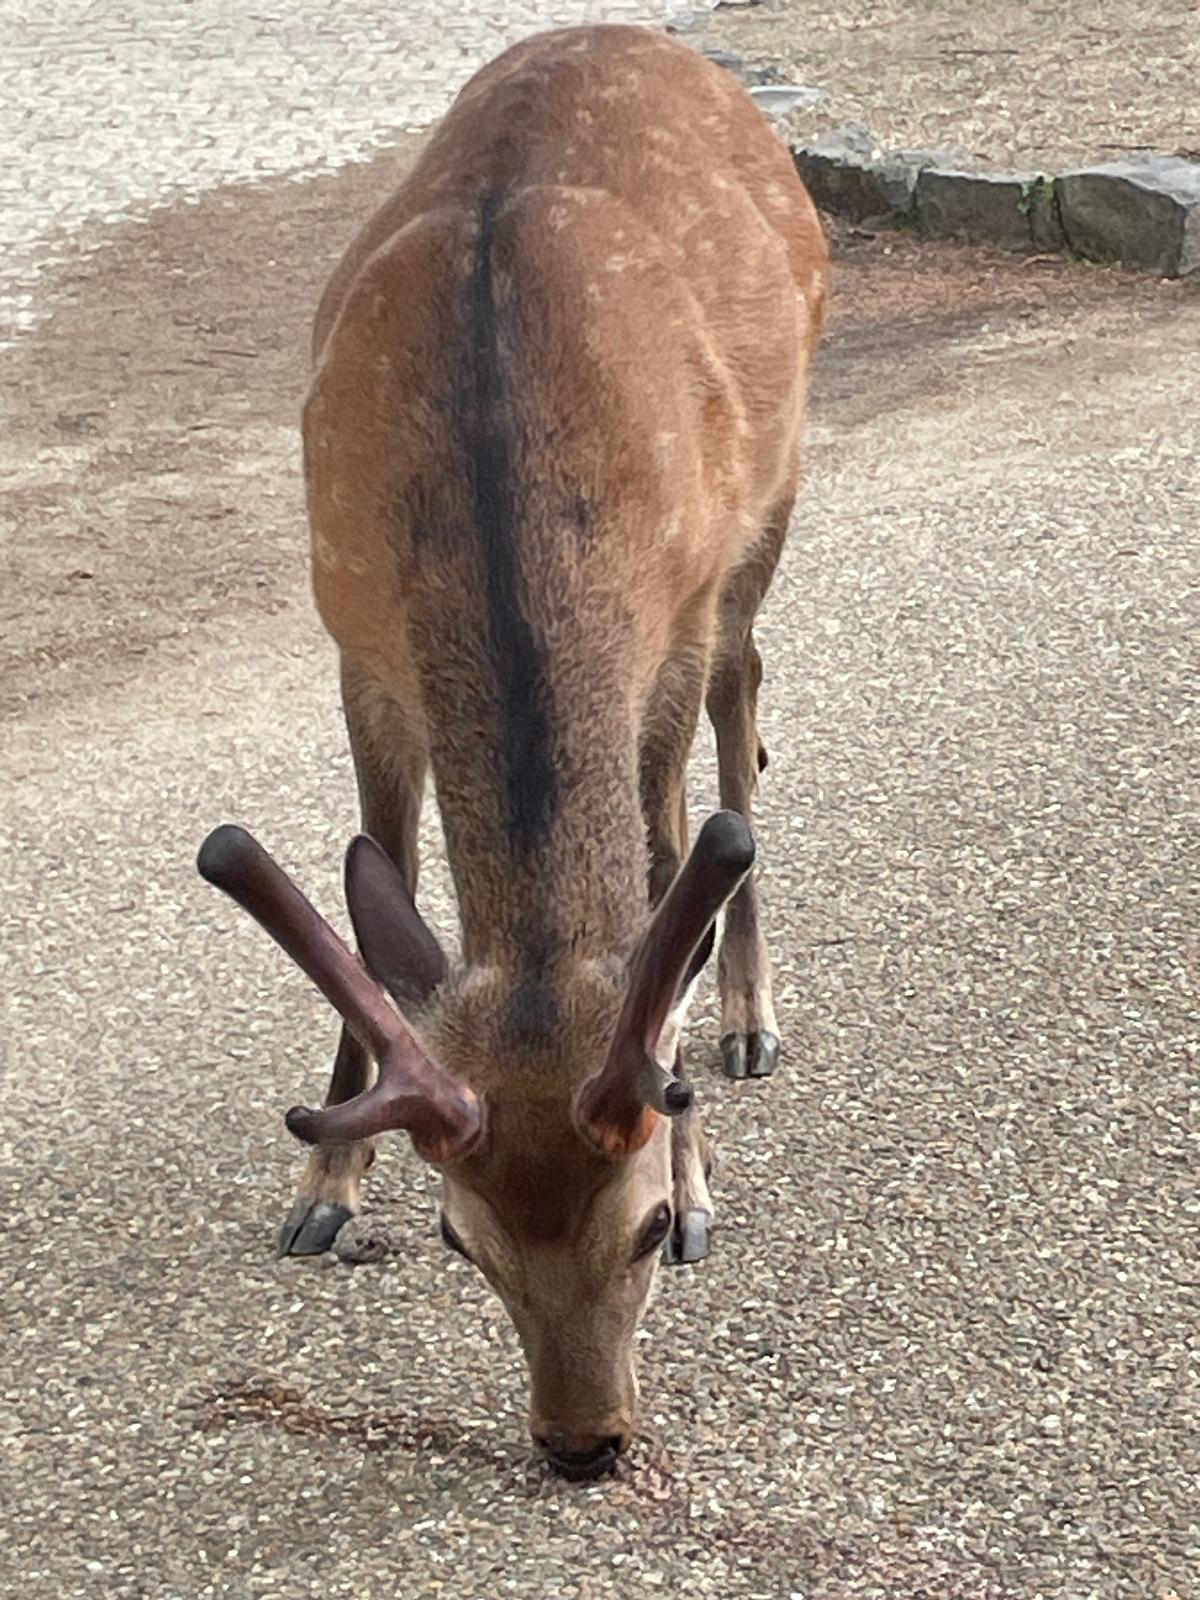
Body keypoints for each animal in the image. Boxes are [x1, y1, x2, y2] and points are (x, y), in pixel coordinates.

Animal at [197, 23, 826, 1480]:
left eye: (641, 1228)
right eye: (456, 1238)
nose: (583, 1442)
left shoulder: (673, 617)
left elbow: (662, 880)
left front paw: (704, 1164)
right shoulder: (354, 631)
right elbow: (375, 872)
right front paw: (324, 1183)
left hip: (770, 498)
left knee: (746, 701)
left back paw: (750, 1014)